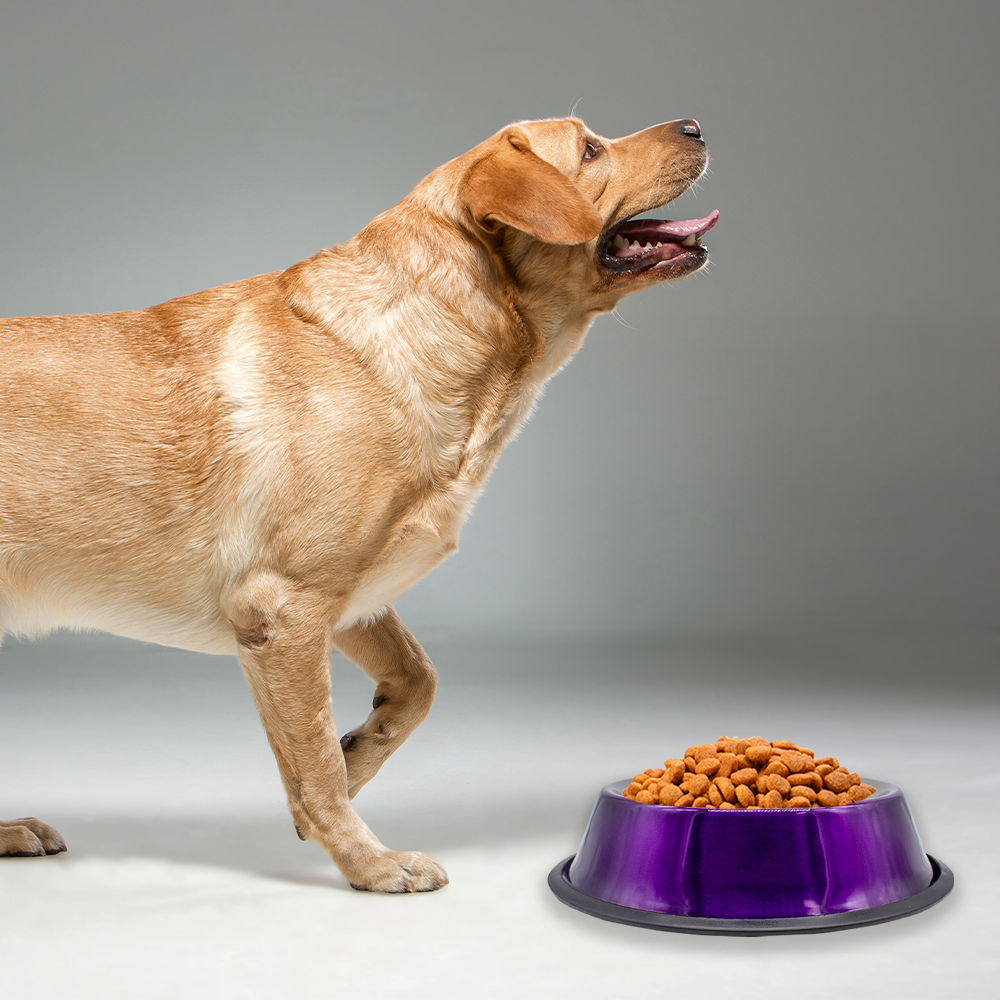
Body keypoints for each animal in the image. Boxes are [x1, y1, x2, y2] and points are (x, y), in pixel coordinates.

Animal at [1, 117, 720, 892]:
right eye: (590, 149)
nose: (694, 125)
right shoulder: (283, 607)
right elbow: (313, 761)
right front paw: (368, 861)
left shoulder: (351, 601)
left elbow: (414, 685)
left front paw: (357, 758)